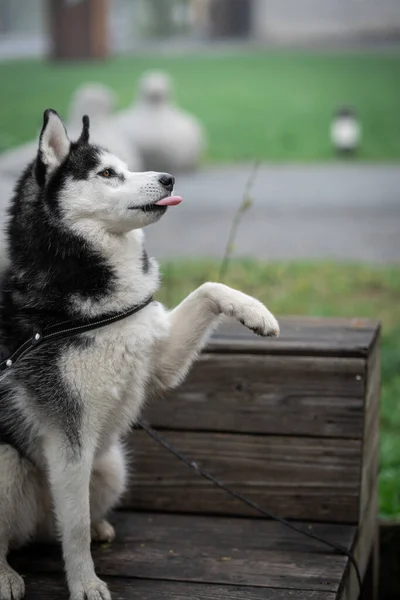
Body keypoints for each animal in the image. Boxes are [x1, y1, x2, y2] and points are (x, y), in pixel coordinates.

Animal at [0, 109, 280, 600]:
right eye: (107, 174)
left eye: (128, 166)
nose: (168, 178)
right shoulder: (67, 436)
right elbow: (72, 527)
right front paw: (86, 584)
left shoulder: (158, 359)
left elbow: (209, 287)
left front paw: (255, 311)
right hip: (8, 464)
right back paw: (5, 574)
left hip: (111, 465)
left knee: (63, 523)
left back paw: (95, 528)